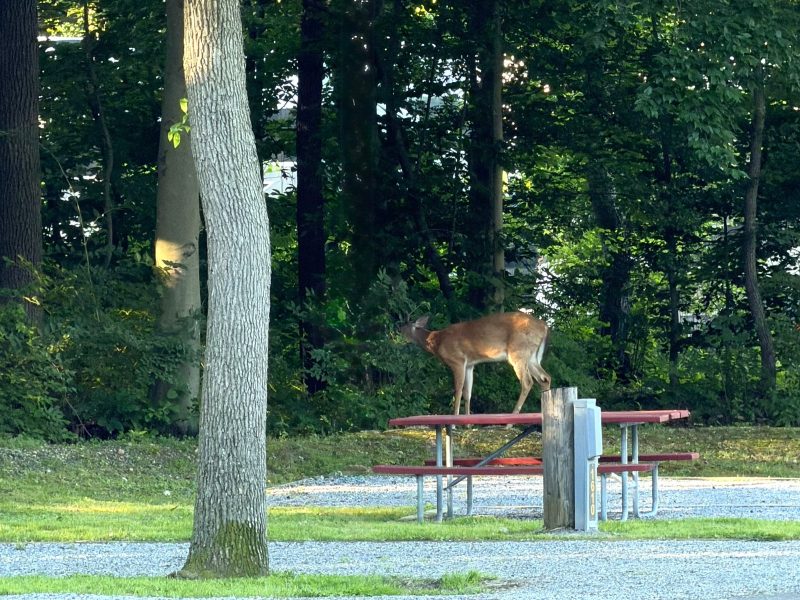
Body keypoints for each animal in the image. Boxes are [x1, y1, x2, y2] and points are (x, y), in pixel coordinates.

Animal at [400, 311, 551, 415]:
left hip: (518, 352)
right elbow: (468, 392)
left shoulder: (457, 360)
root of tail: (544, 326)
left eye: (402, 329)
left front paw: (455, 420)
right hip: (531, 357)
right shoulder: (469, 365)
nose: (397, 335)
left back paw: (511, 421)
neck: (437, 341)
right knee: (545, 378)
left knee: (528, 382)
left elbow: (458, 389)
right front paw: (467, 422)